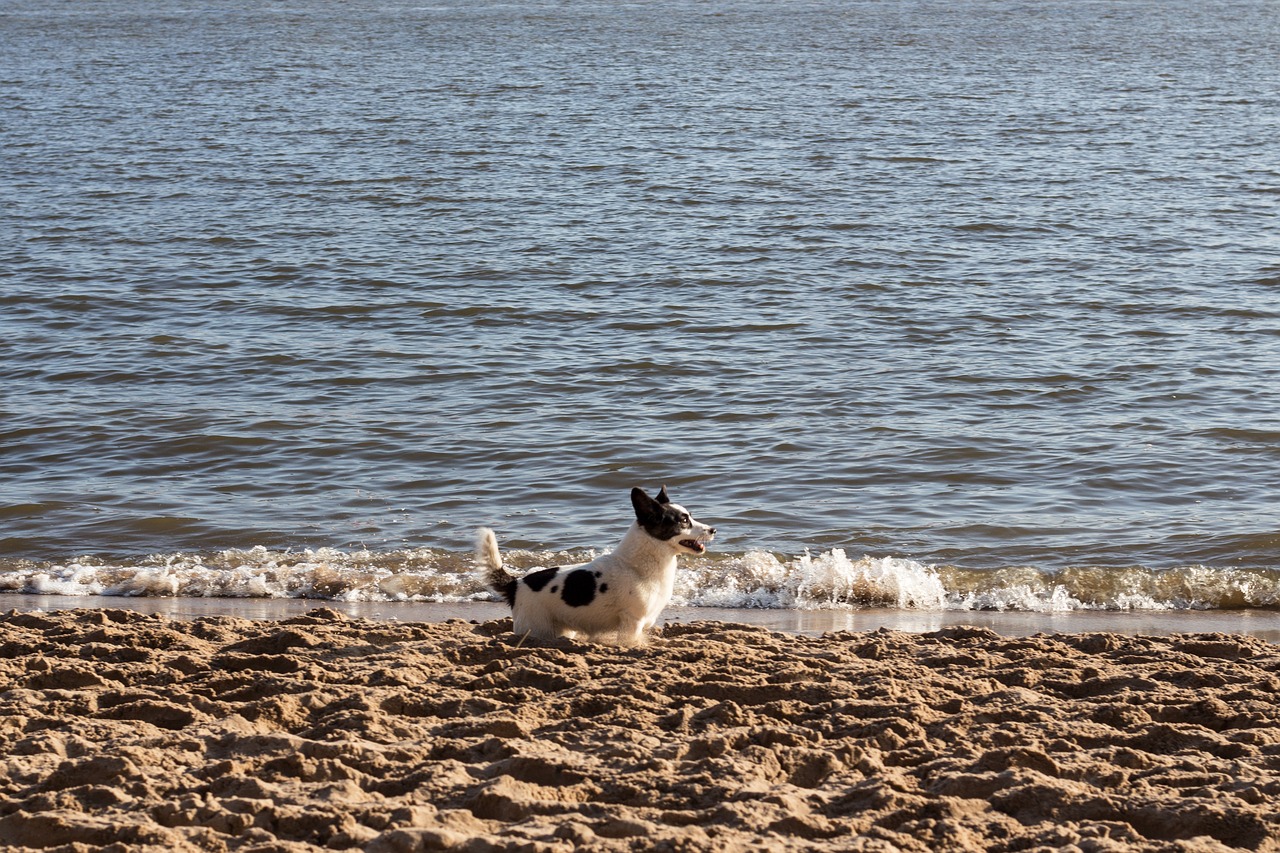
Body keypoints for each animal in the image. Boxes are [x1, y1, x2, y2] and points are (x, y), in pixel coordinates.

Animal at [476, 484, 716, 645]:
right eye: (683, 521)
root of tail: (516, 584)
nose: (714, 529)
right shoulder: (632, 623)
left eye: (690, 516)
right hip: (537, 629)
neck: (636, 566)